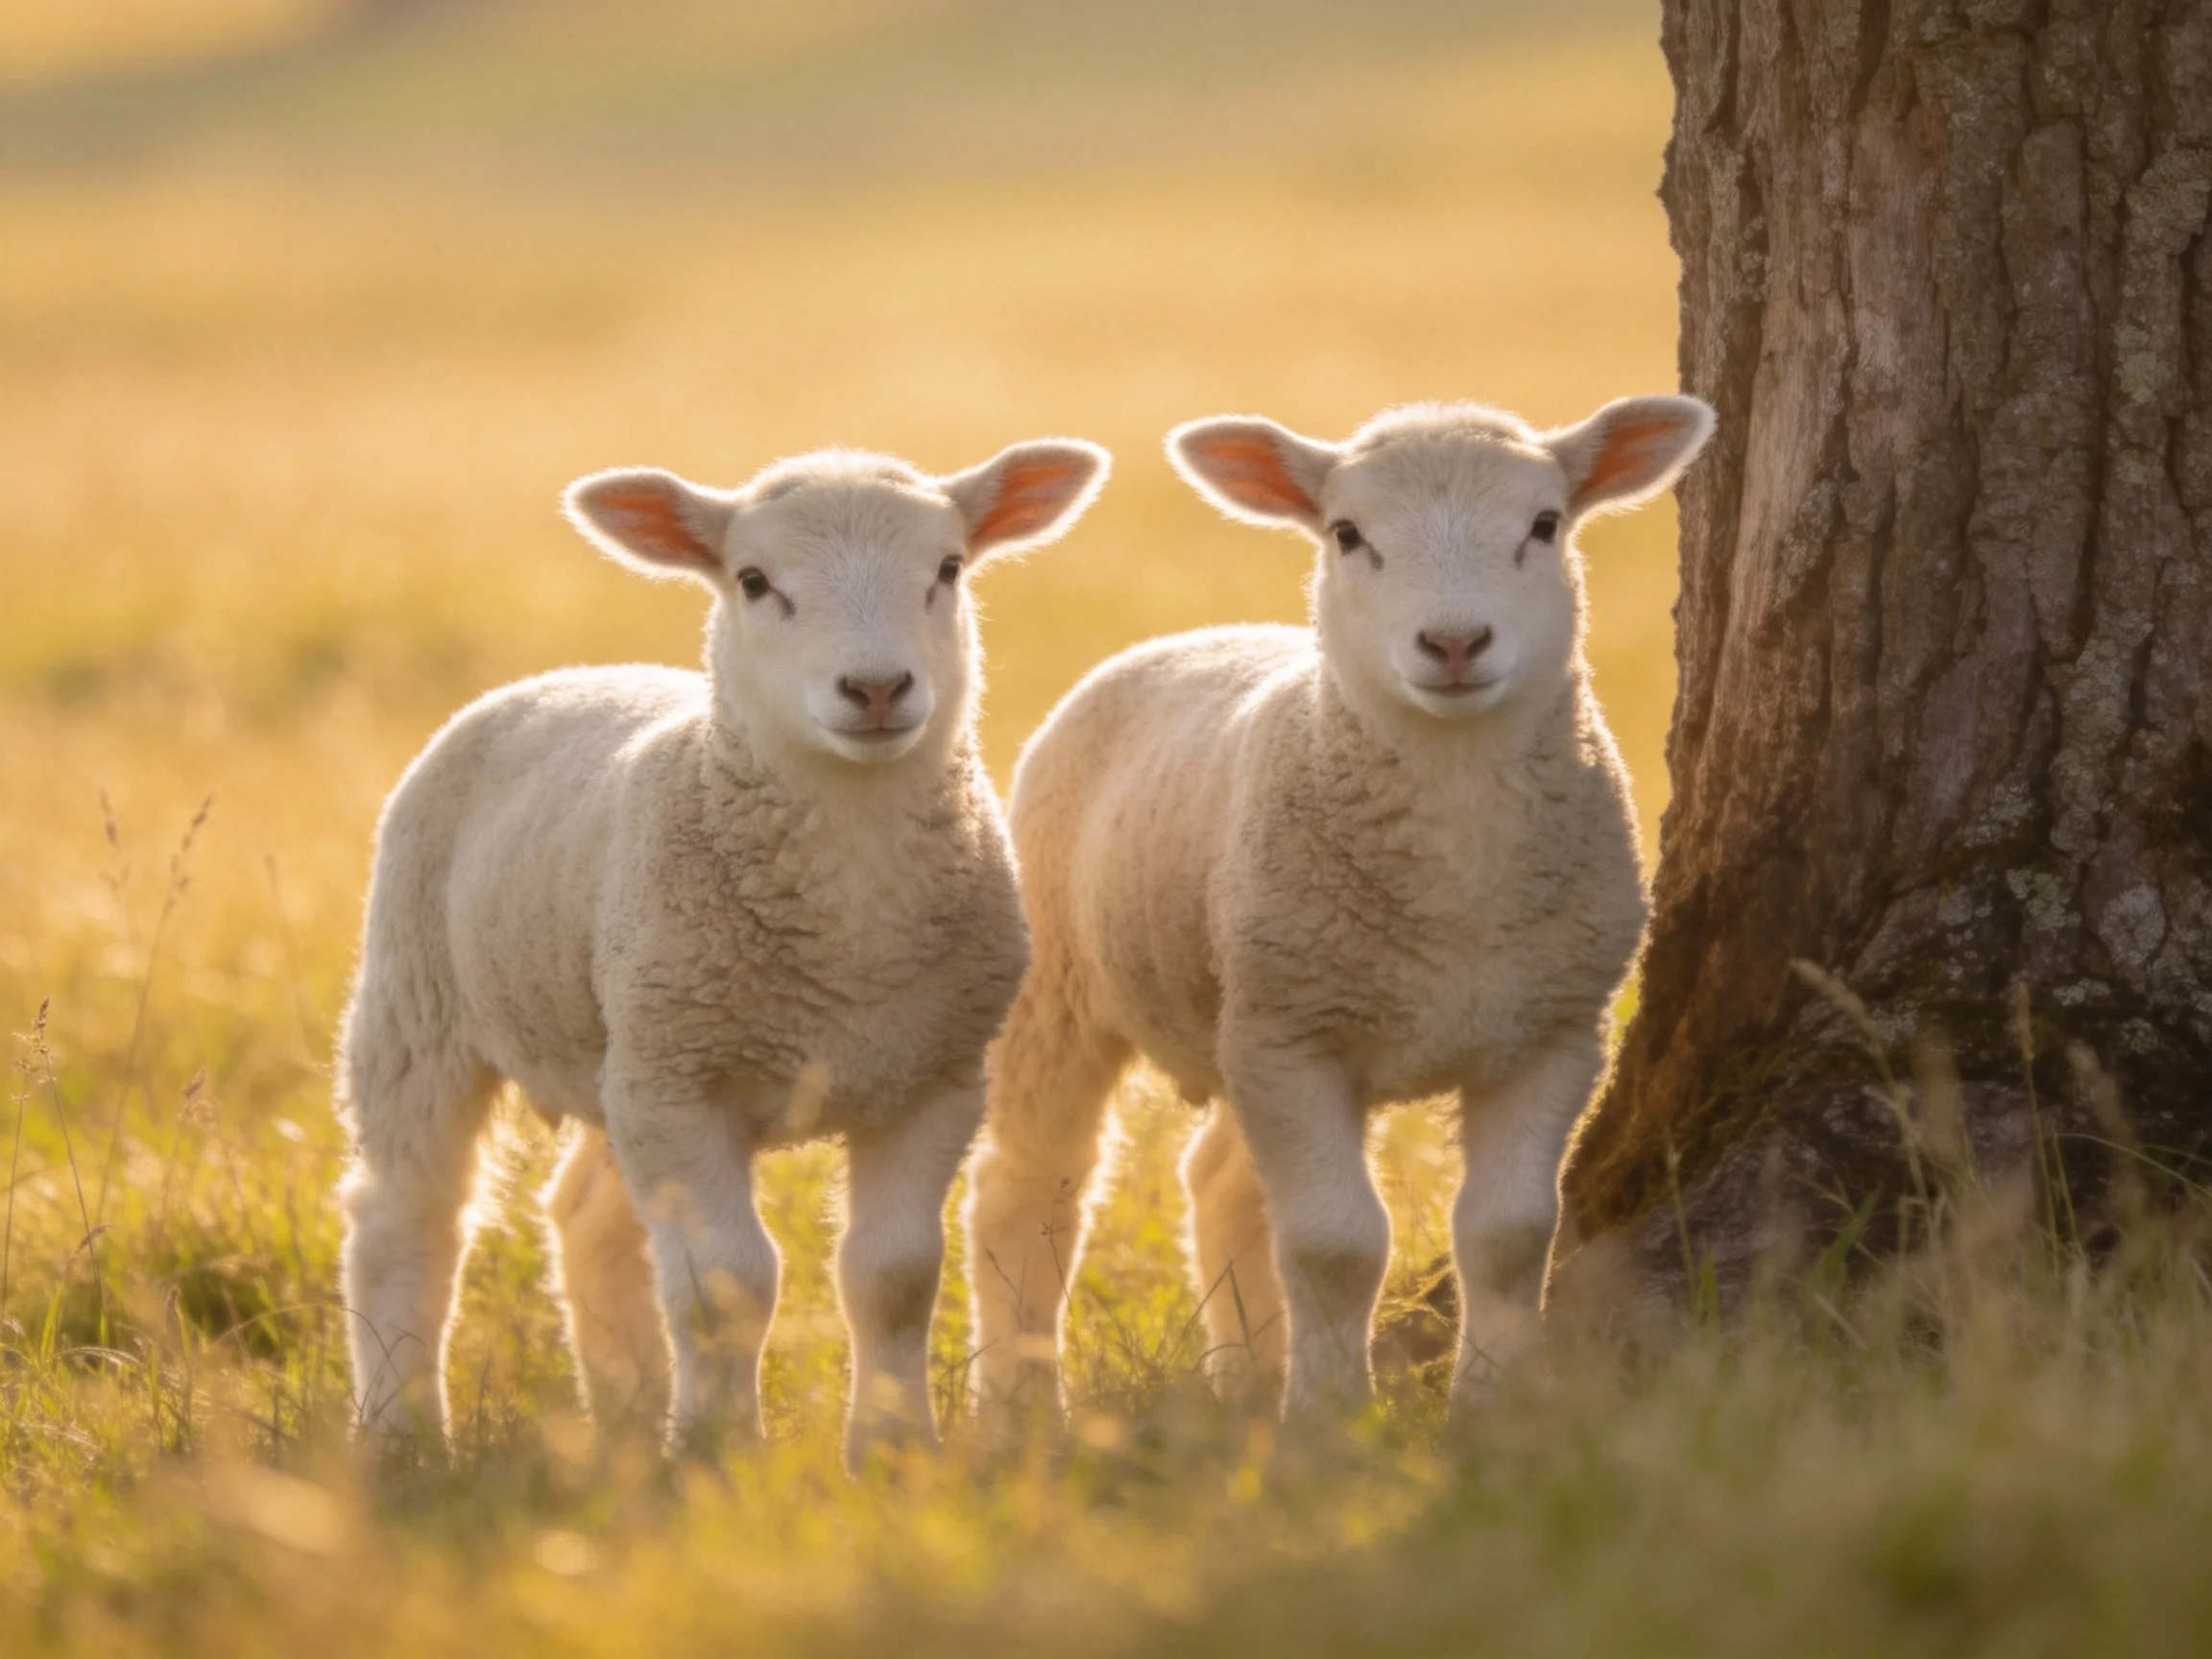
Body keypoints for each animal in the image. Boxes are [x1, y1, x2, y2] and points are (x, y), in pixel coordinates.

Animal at [335, 436, 1109, 1467]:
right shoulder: (684, 1086)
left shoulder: (933, 1077)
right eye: (754, 581)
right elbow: (728, 1284)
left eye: (947, 570)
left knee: (588, 1222)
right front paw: (719, 1453)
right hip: (423, 1003)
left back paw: (627, 1420)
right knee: (406, 1219)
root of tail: (565, 673)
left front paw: (892, 1452)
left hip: (619, 1051)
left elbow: (894, 1275)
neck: (849, 937)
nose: (876, 689)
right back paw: (404, 1434)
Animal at [964, 396, 1713, 1420]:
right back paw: (1019, 1406)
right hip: (1066, 990)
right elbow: (1337, 1246)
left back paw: (1246, 1374)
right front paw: (1327, 1421)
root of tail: (1195, 635)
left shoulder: (1554, 1032)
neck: (1458, 875)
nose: (1454, 644)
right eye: (1349, 535)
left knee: (1220, 1184)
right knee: (1025, 1189)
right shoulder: (1296, 1039)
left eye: (1545, 524)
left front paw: (1491, 1407)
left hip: (1241, 1015)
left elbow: (1509, 1233)